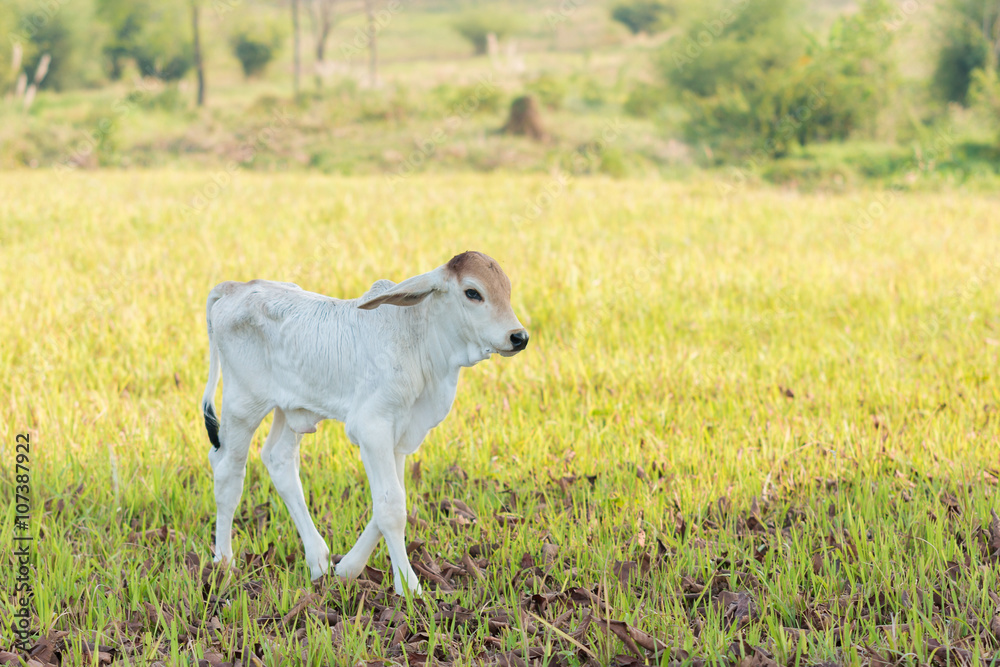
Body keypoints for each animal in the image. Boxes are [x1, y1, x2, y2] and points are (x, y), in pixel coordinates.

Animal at [200, 250, 528, 596]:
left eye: (506, 289)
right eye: (472, 292)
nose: (518, 337)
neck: (420, 339)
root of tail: (235, 287)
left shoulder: (400, 435)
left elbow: (391, 500)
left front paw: (347, 569)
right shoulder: (373, 428)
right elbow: (392, 507)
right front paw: (409, 587)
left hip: (291, 409)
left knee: (278, 461)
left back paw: (318, 560)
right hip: (242, 405)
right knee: (228, 472)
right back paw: (224, 562)